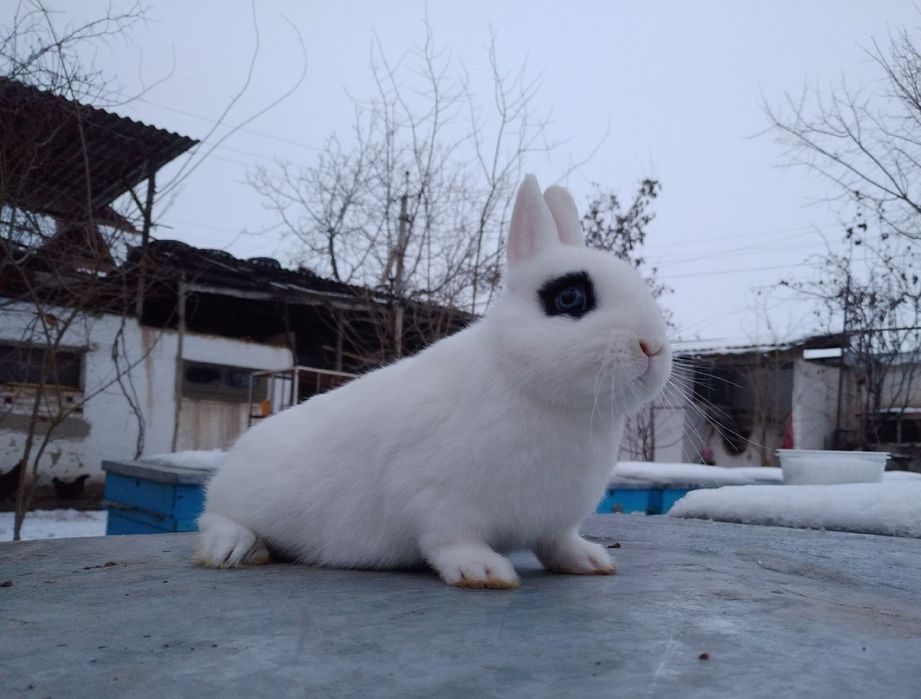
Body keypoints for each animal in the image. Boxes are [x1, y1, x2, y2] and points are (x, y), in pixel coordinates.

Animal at [197, 174, 672, 589]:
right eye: (570, 297)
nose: (652, 346)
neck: (529, 385)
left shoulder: (557, 519)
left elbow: (558, 544)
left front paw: (590, 560)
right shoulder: (435, 497)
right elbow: (450, 540)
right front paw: (483, 572)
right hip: (238, 499)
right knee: (213, 517)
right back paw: (234, 549)